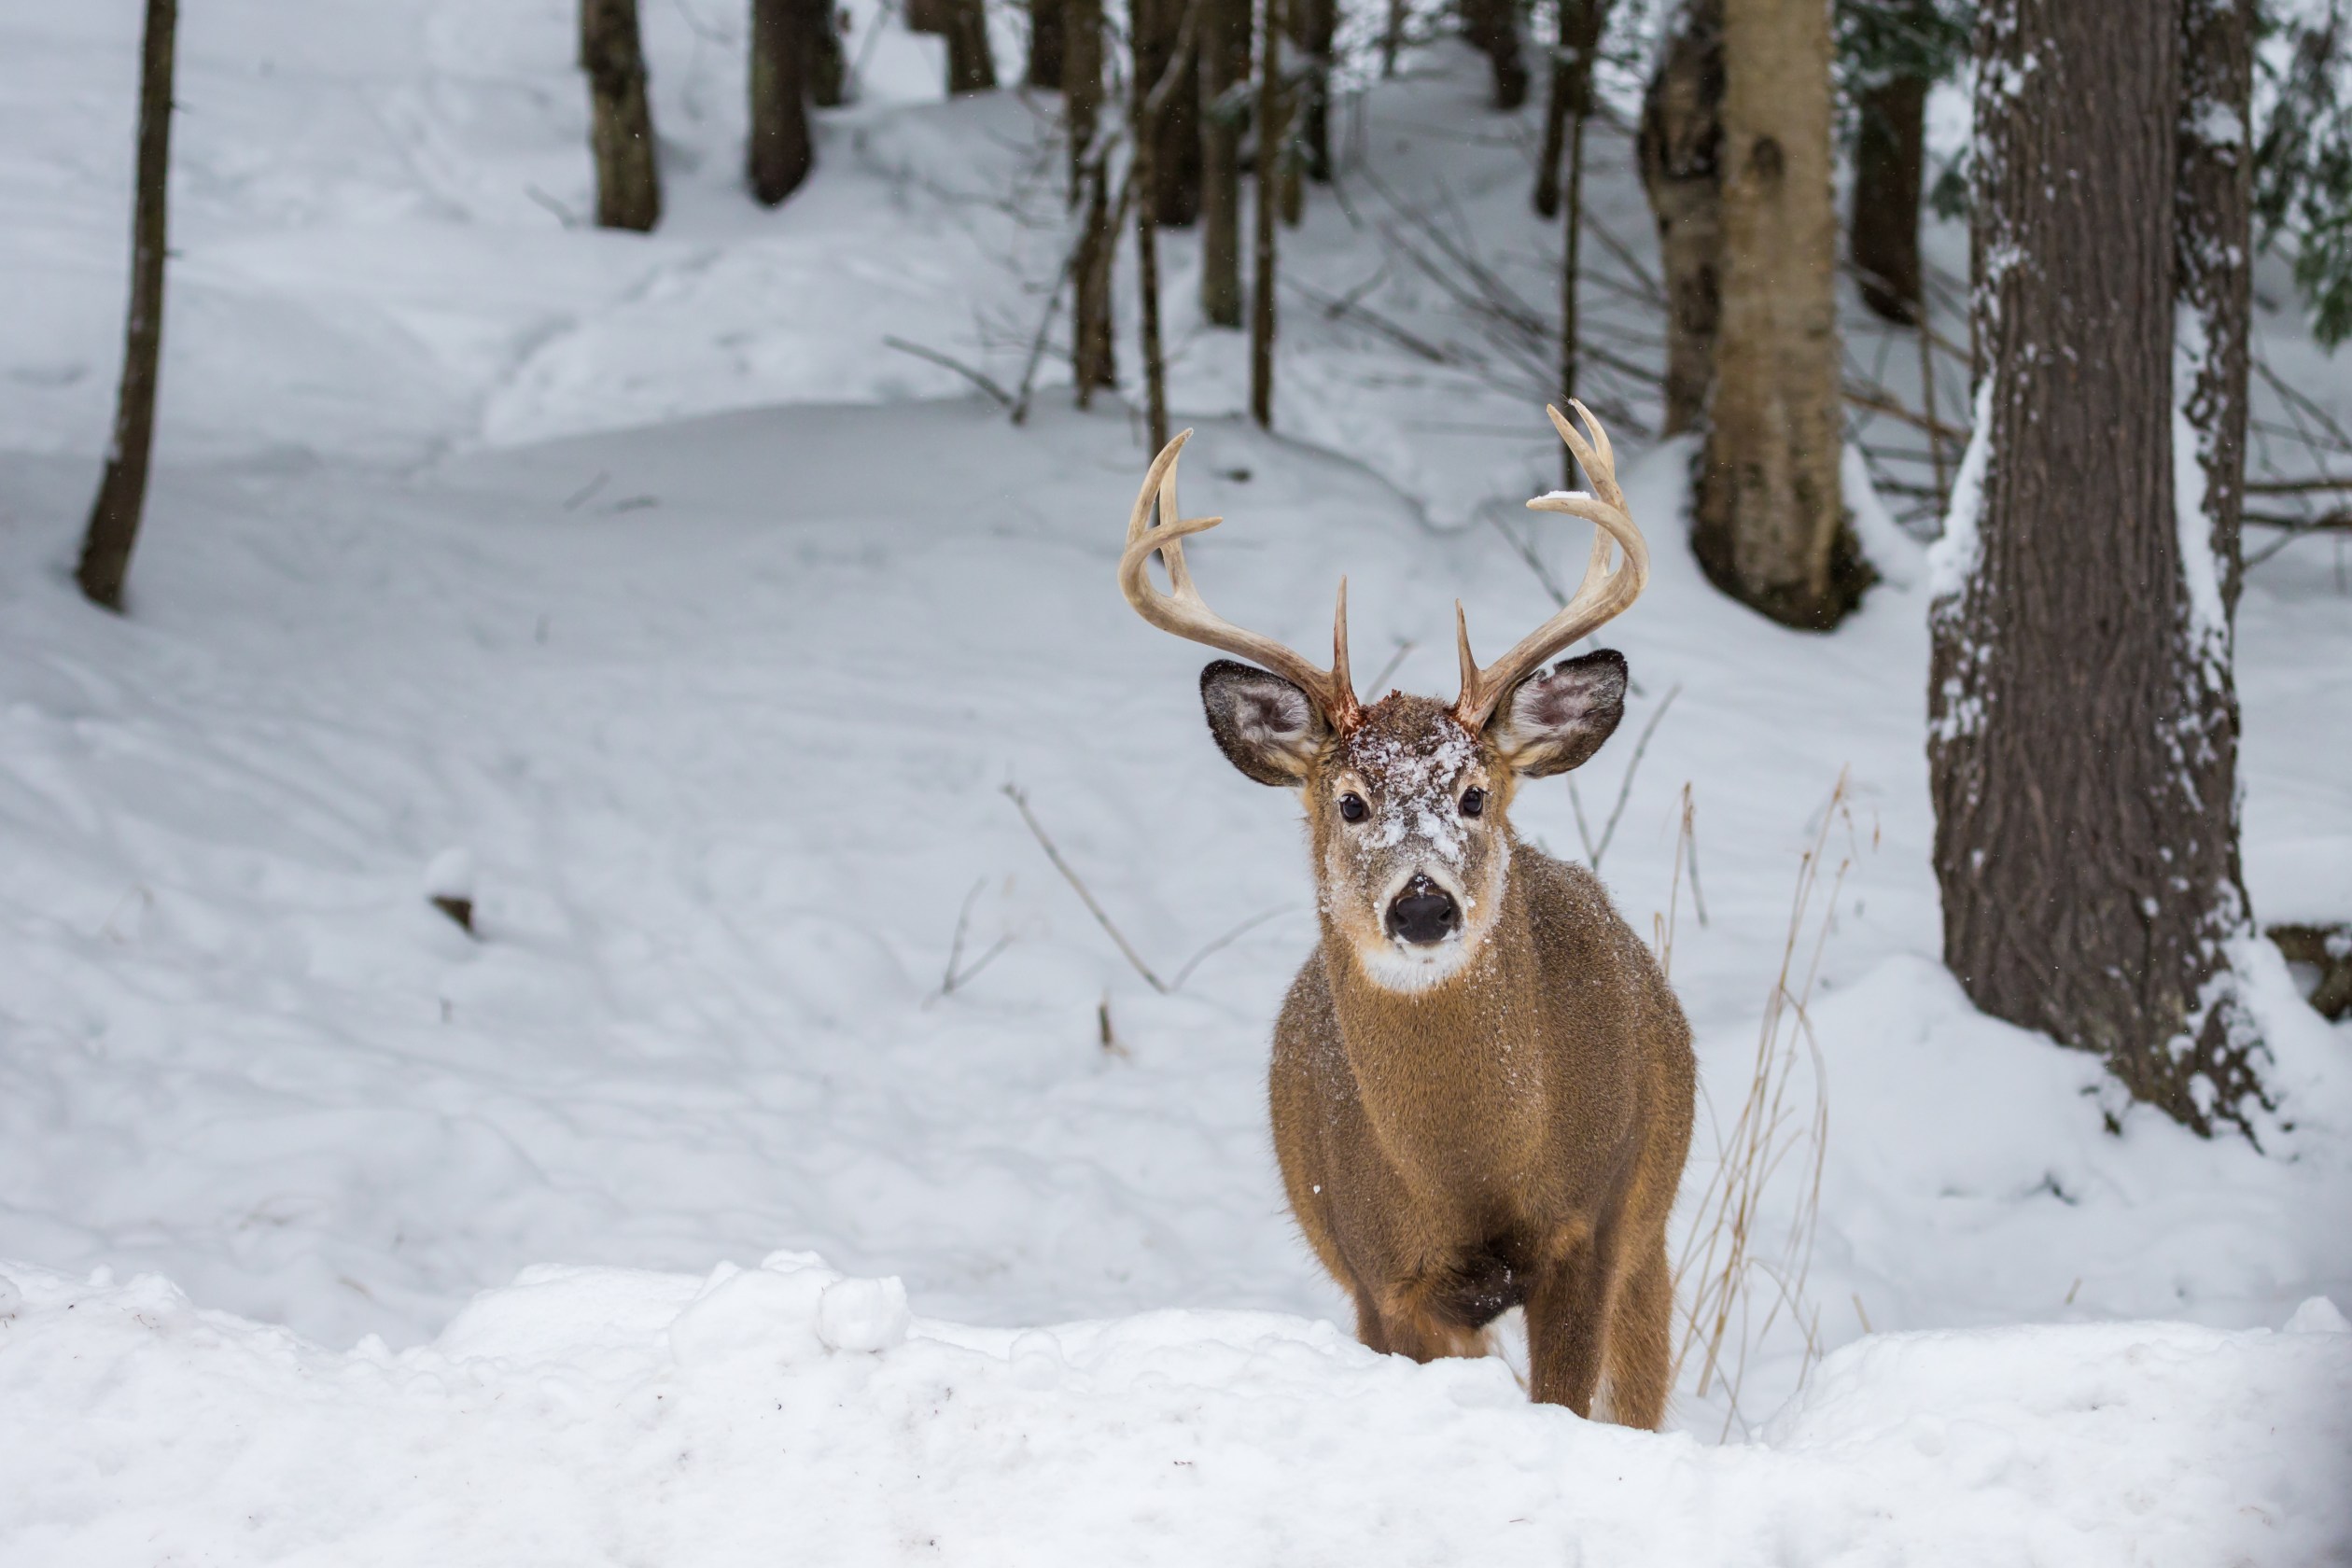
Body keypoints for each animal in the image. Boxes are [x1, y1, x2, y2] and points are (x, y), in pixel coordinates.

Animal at [1119, 401, 1693, 1420]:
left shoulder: (1591, 1227)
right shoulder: (1381, 1274)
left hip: (1651, 1229)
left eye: (1473, 795)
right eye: (1350, 802)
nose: (1423, 908)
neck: (1472, 1174)